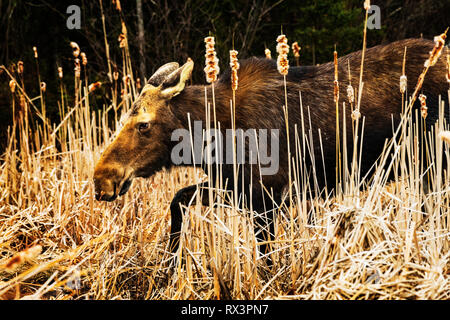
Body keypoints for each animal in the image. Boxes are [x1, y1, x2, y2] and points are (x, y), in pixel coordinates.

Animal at [93, 39, 448, 260]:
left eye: (143, 124)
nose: (102, 179)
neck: (210, 138)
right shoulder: (236, 188)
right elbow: (178, 201)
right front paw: (170, 262)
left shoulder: (268, 196)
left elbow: (266, 258)